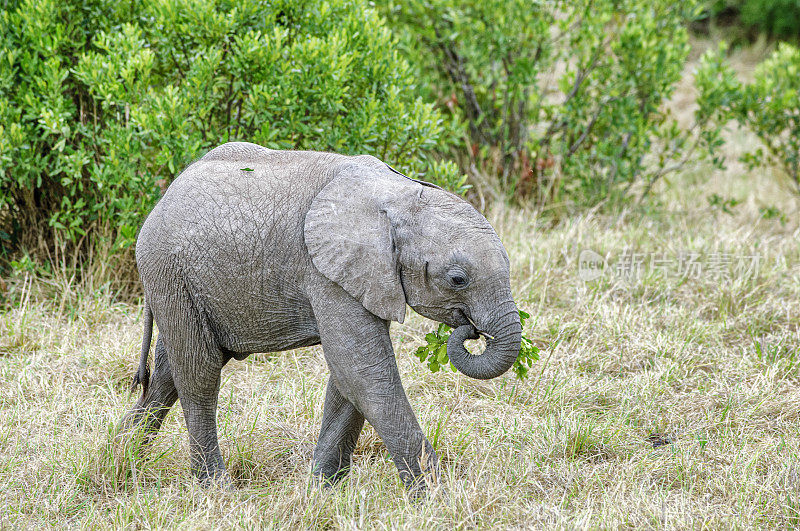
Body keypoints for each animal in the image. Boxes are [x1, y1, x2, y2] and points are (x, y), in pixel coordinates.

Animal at [123, 143, 524, 492]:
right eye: (457, 279)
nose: (470, 330)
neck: (399, 196)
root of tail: (162, 199)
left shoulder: (361, 276)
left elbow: (348, 379)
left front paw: (322, 491)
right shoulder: (326, 272)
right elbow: (363, 372)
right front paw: (436, 497)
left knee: (168, 373)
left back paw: (123, 456)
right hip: (169, 272)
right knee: (199, 374)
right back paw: (215, 488)